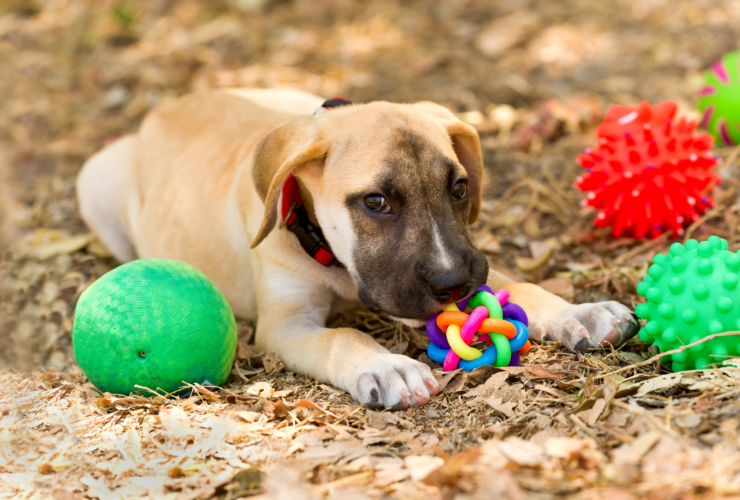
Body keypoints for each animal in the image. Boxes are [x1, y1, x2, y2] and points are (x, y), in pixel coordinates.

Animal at [76, 90, 640, 408]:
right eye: (376, 202)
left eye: (460, 188)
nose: (453, 284)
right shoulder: (285, 325)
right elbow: (342, 337)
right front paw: (388, 367)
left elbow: (522, 285)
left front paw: (580, 312)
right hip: (94, 182)